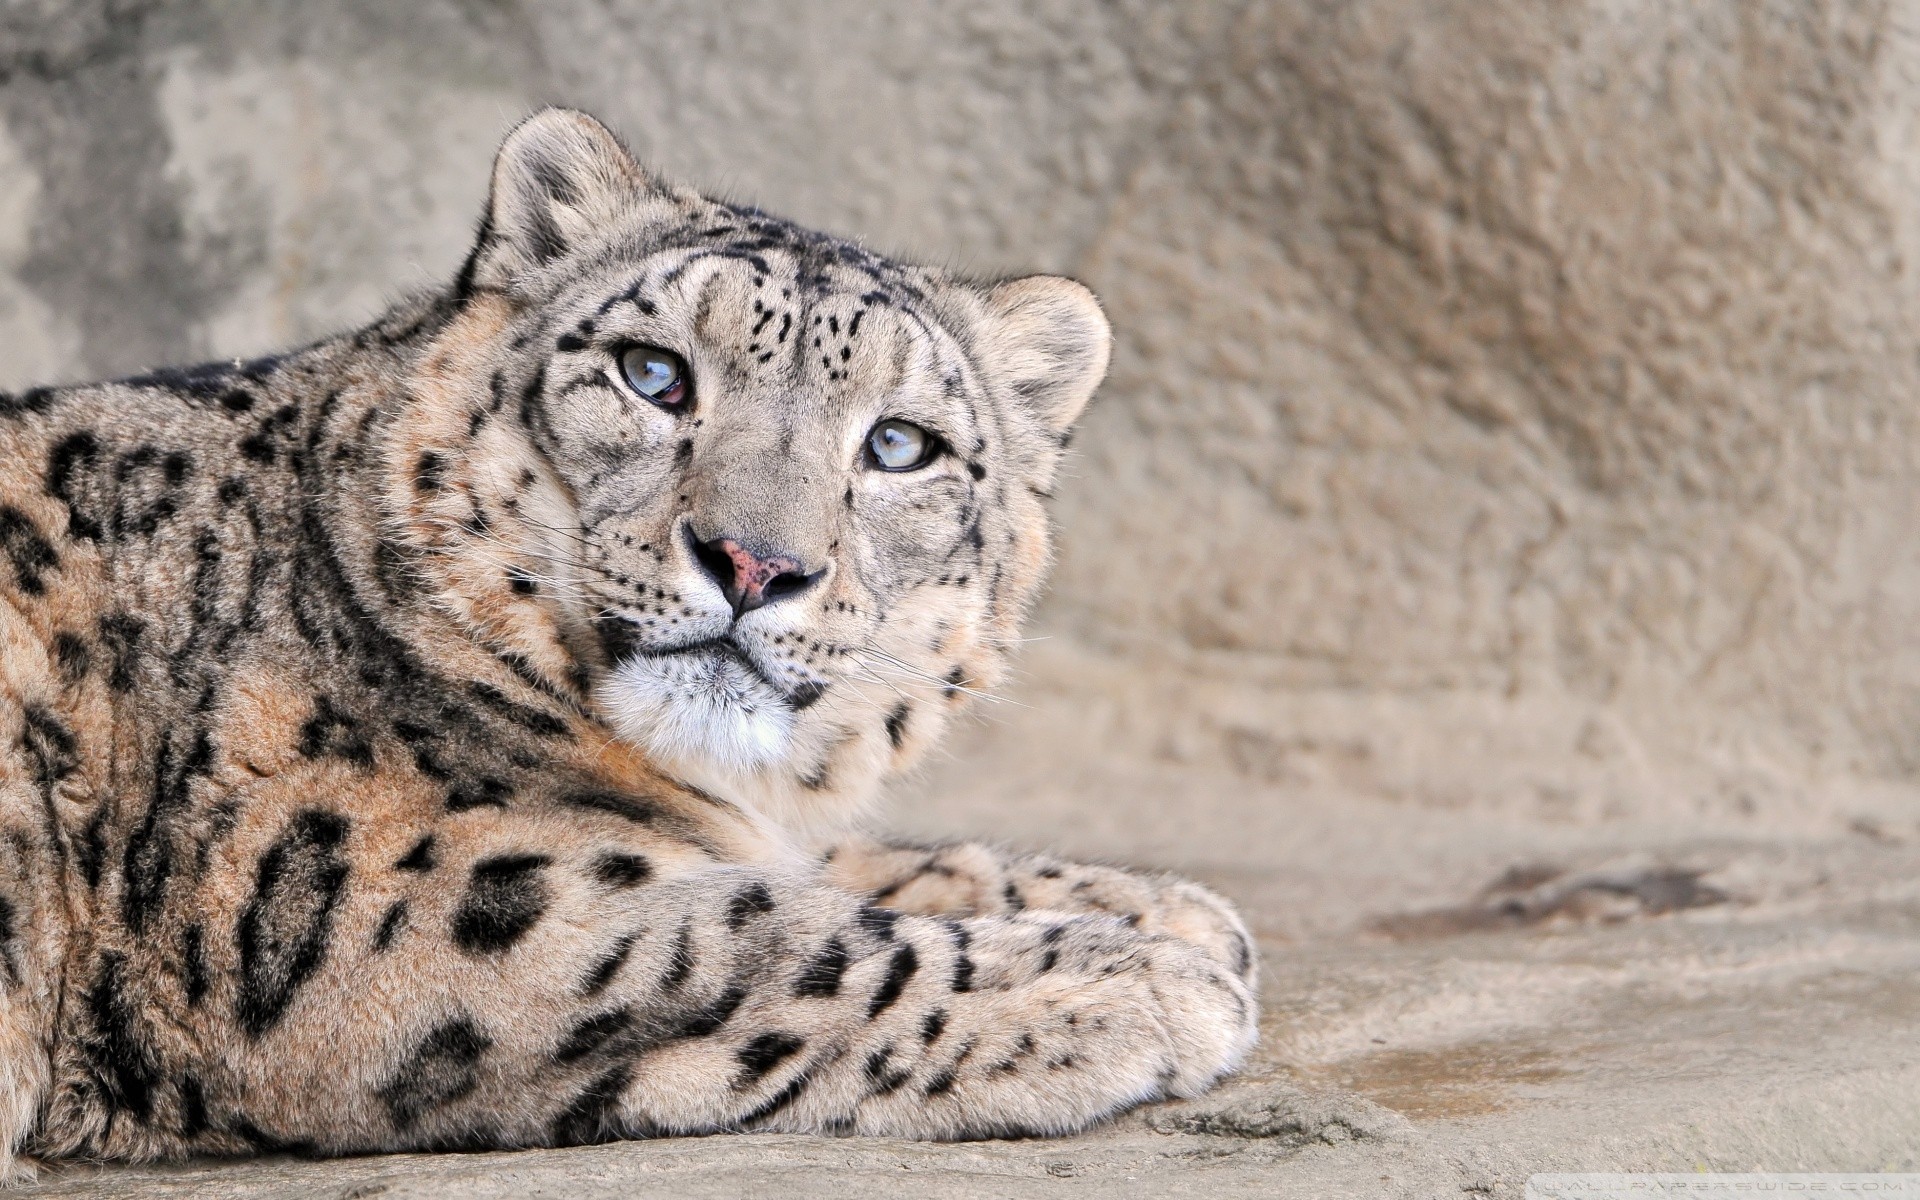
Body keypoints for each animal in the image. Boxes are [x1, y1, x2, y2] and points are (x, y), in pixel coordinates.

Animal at [0, 108, 1257, 1172]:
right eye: (653, 374)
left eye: (901, 445)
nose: (754, 563)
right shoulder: (380, 903)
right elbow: (760, 940)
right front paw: (1139, 976)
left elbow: (840, 867)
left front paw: (1158, 907)